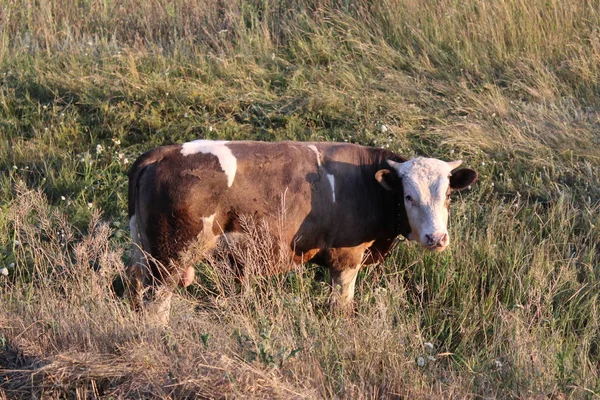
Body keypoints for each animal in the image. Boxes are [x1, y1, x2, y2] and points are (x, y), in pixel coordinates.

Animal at [127, 139, 478, 320]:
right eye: (408, 196)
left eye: (448, 195)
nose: (436, 238)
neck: (365, 182)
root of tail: (161, 153)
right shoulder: (346, 258)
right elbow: (342, 305)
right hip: (172, 257)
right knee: (156, 305)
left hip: (147, 253)